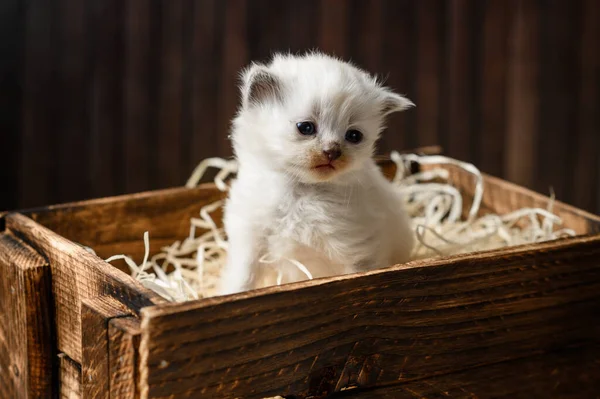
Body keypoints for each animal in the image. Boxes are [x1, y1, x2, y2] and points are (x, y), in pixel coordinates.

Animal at [218, 52, 414, 296]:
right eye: (306, 128)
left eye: (354, 136)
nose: (332, 152)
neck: (301, 192)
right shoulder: (249, 242)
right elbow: (242, 280)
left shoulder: (357, 250)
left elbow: (357, 276)